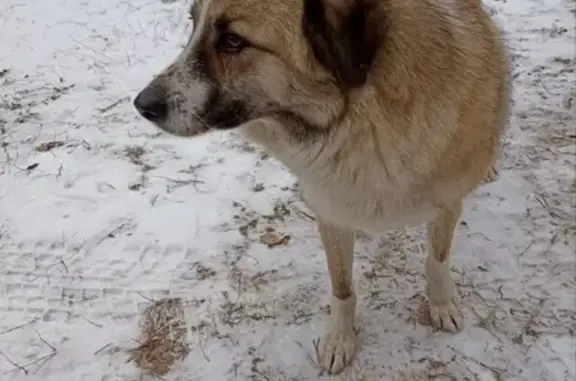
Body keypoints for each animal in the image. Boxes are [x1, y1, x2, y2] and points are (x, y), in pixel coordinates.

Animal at [134, 0, 508, 374]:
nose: (142, 105)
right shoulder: (332, 211)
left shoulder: (447, 204)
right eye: (192, 24)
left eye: (233, 41)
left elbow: (437, 261)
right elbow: (342, 288)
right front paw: (340, 339)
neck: (362, 120)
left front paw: (441, 304)